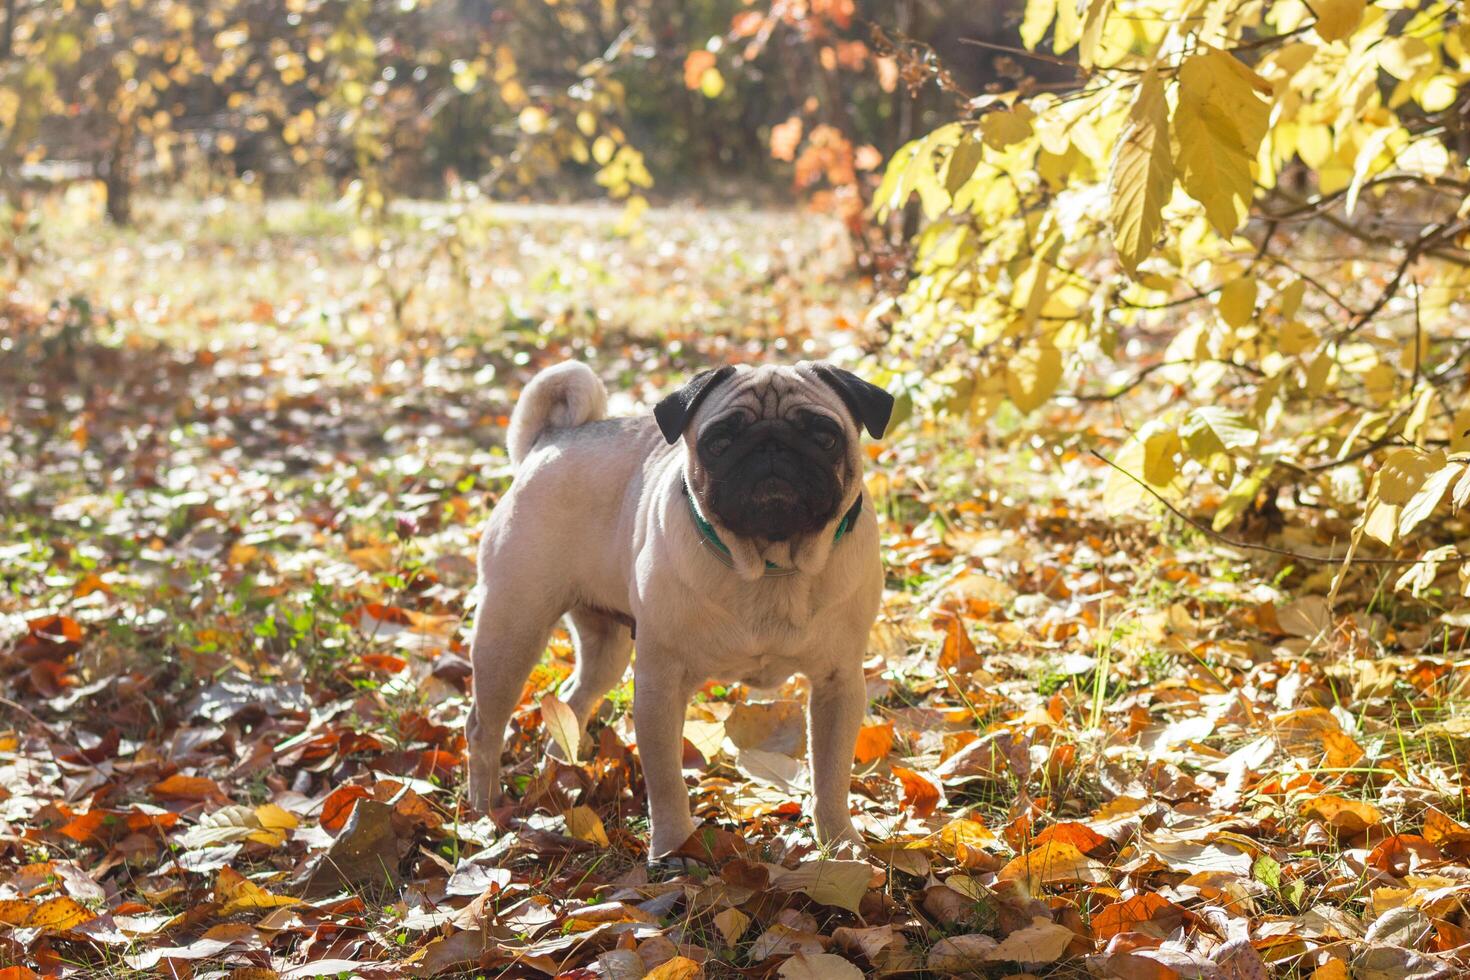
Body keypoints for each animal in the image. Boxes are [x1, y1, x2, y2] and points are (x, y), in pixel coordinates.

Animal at [464, 359, 887, 858]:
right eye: (719, 441)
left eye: (824, 436)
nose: (771, 446)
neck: (769, 567)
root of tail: (550, 439)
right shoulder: (660, 686)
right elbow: (666, 781)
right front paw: (672, 851)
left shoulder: (838, 685)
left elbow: (831, 774)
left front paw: (842, 845)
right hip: (512, 632)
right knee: (483, 727)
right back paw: (483, 811)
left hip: (604, 647)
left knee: (573, 698)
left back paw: (560, 770)